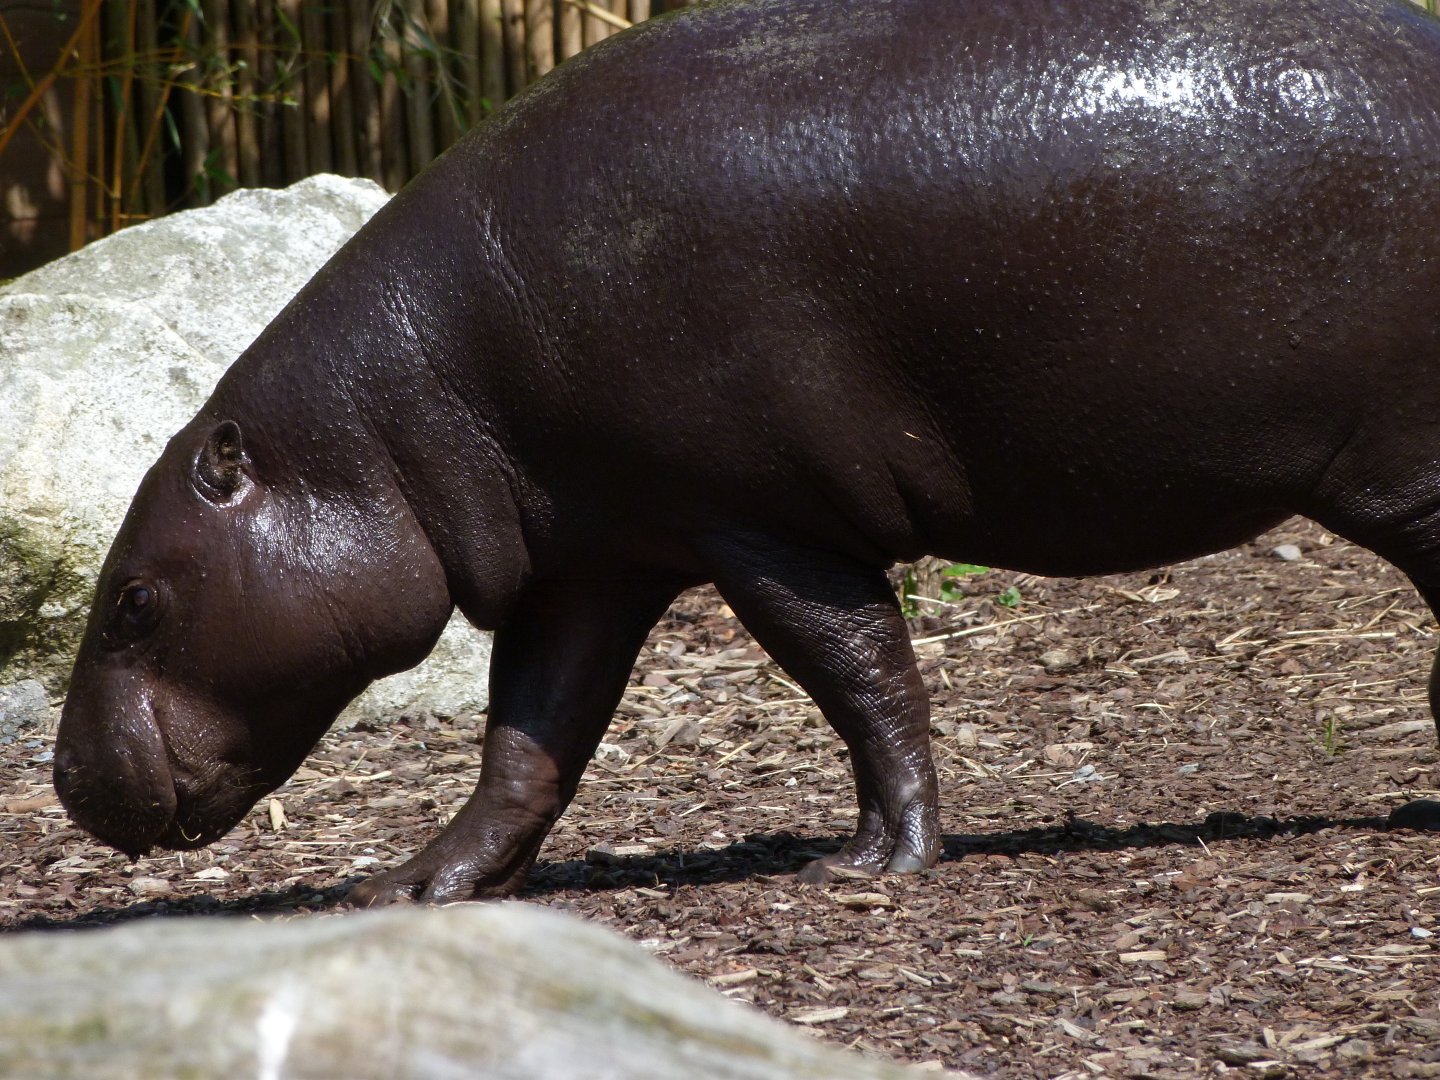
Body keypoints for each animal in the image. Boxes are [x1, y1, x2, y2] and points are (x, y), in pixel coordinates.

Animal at [54, 0, 1440, 904]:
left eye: (131, 602)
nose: (62, 778)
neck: (389, 422)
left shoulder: (762, 520)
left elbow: (865, 680)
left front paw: (874, 866)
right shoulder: (592, 558)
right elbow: (528, 742)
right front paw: (409, 888)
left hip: (1402, 475)